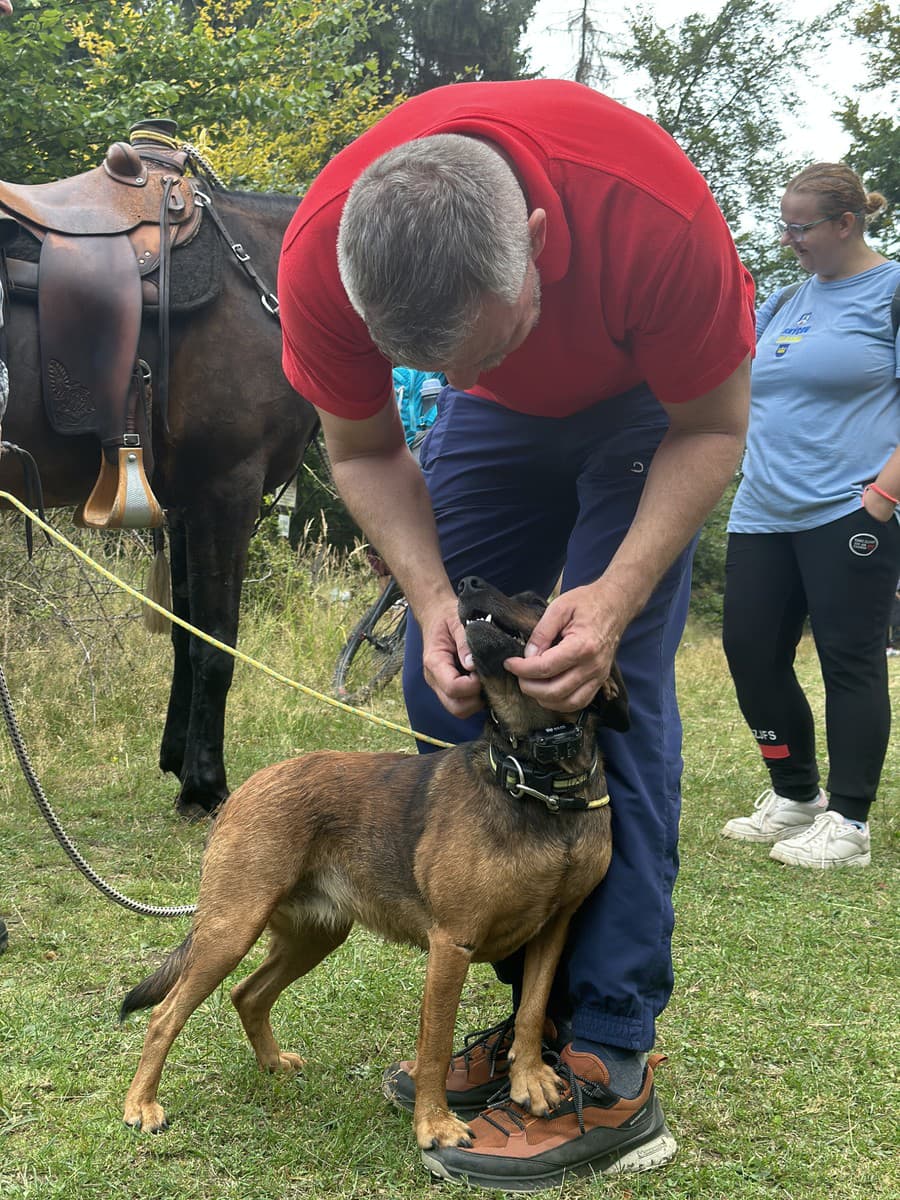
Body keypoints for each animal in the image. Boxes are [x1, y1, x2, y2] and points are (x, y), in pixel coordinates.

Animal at [0, 180, 321, 816]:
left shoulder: (185, 501)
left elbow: (184, 632)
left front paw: (178, 760)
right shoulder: (227, 489)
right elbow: (217, 643)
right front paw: (205, 785)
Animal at [118, 576, 628, 1147]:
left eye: (539, 603)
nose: (469, 584)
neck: (538, 784)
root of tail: (247, 787)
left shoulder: (553, 929)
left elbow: (532, 1012)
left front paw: (528, 1079)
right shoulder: (451, 944)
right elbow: (435, 1045)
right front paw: (435, 1123)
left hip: (315, 934)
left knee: (247, 995)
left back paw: (271, 1064)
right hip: (231, 928)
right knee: (165, 1016)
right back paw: (141, 1104)